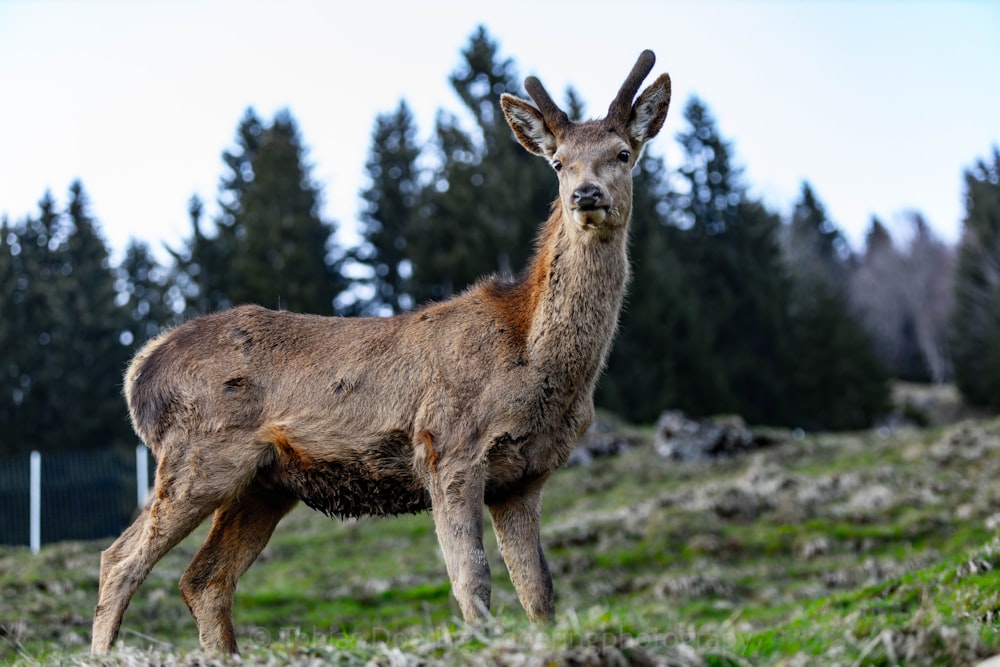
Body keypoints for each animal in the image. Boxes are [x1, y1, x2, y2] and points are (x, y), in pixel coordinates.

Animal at [92, 49, 672, 656]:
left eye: (623, 153)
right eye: (558, 163)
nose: (587, 195)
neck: (538, 365)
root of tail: (139, 372)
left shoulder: (525, 478)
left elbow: (540, 593)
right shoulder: (447, 445)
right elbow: (472, 580)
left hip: (262, 484)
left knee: (203, 579)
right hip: (196, 455)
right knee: (119, 560)